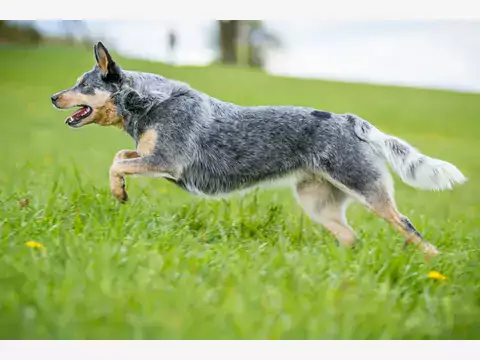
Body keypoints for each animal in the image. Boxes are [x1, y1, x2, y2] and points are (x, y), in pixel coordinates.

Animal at [51, 41, 464, 258]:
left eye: (82, 84)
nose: (53, 96)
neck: (148, 103)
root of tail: (348, 119)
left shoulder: (166, 161)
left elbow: (116, 163)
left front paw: (119, 193)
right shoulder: (154, 160)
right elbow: (120, 158)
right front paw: (119, 192)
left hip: (366, 189)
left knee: (407, 226)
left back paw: (434, 263)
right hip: (316, 201)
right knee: (350, 237)